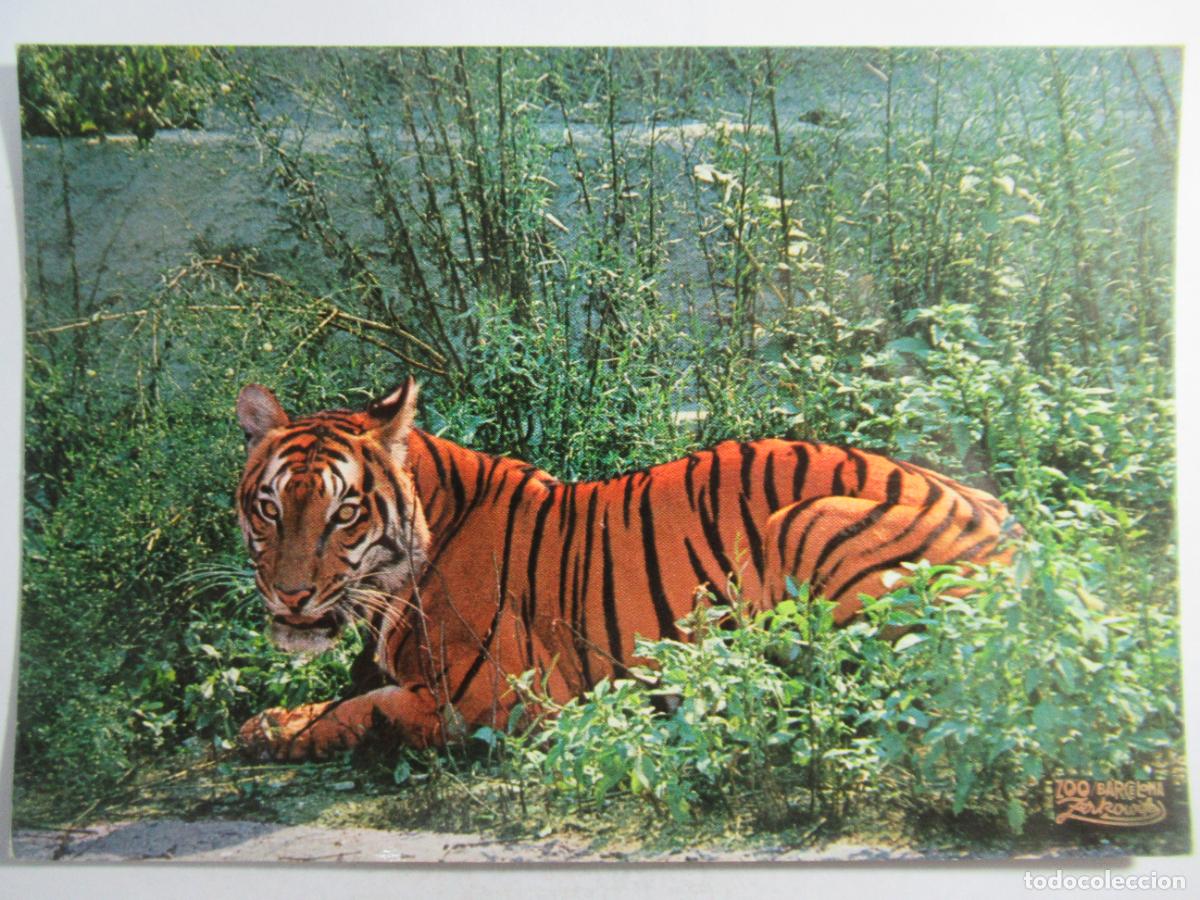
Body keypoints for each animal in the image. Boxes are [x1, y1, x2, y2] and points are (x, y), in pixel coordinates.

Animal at [235, 377, 1017, 760]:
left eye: (344, 512)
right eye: (270, 507)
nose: (291, 595)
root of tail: (1007, 525)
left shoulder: (499, 699)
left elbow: (369, 711)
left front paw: (273, 733)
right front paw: (271, 721)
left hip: (807, 521)